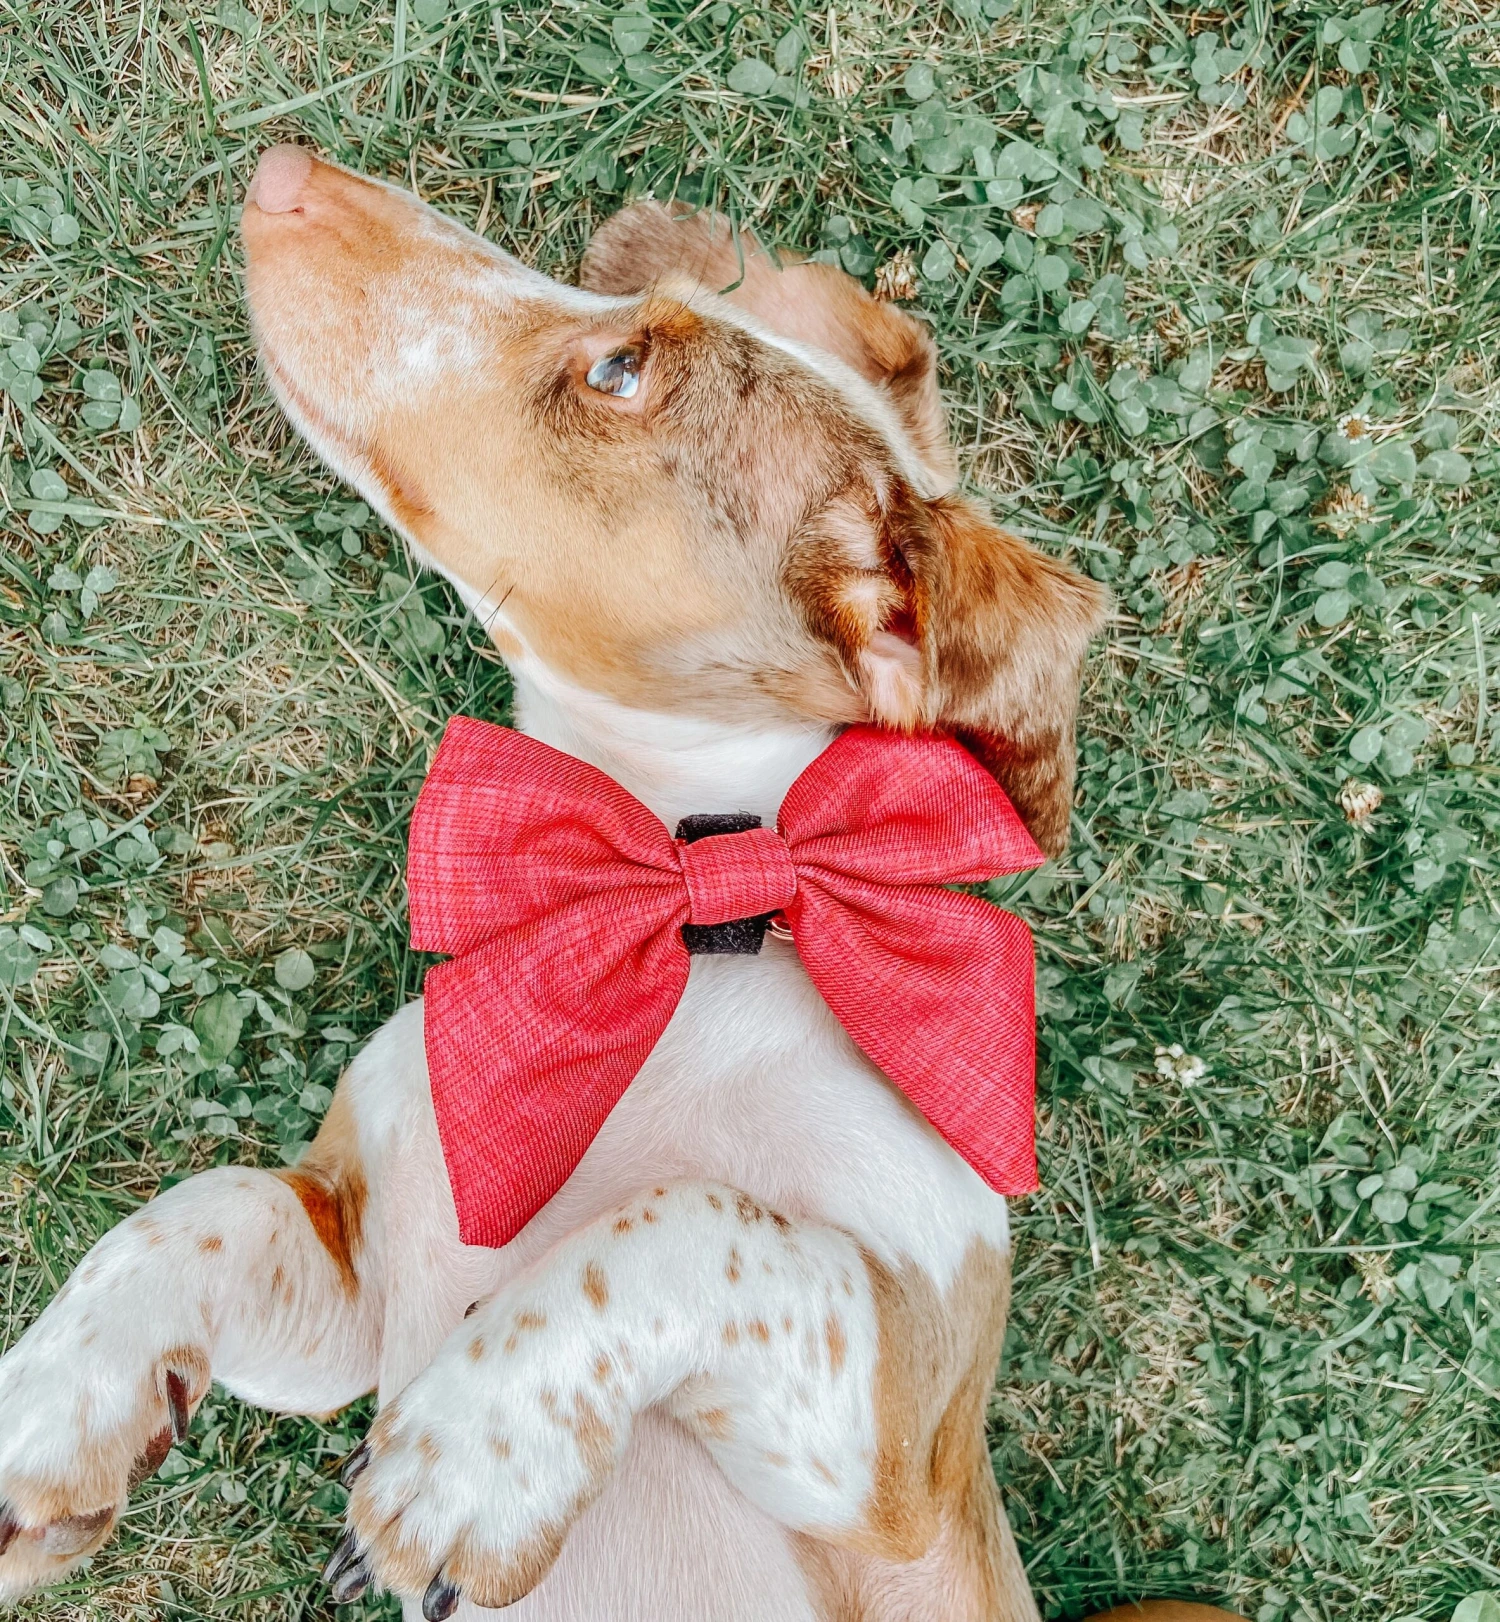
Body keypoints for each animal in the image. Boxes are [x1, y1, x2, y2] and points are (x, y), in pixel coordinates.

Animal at [0, 145, 1121, 1620]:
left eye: (621, 369)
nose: (289, 171)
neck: (688, 925)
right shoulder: (354, 1279)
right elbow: (195, 1212)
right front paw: (51, 1407)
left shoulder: (901, 1444)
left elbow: (697, 1221)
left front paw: (471, 1454)